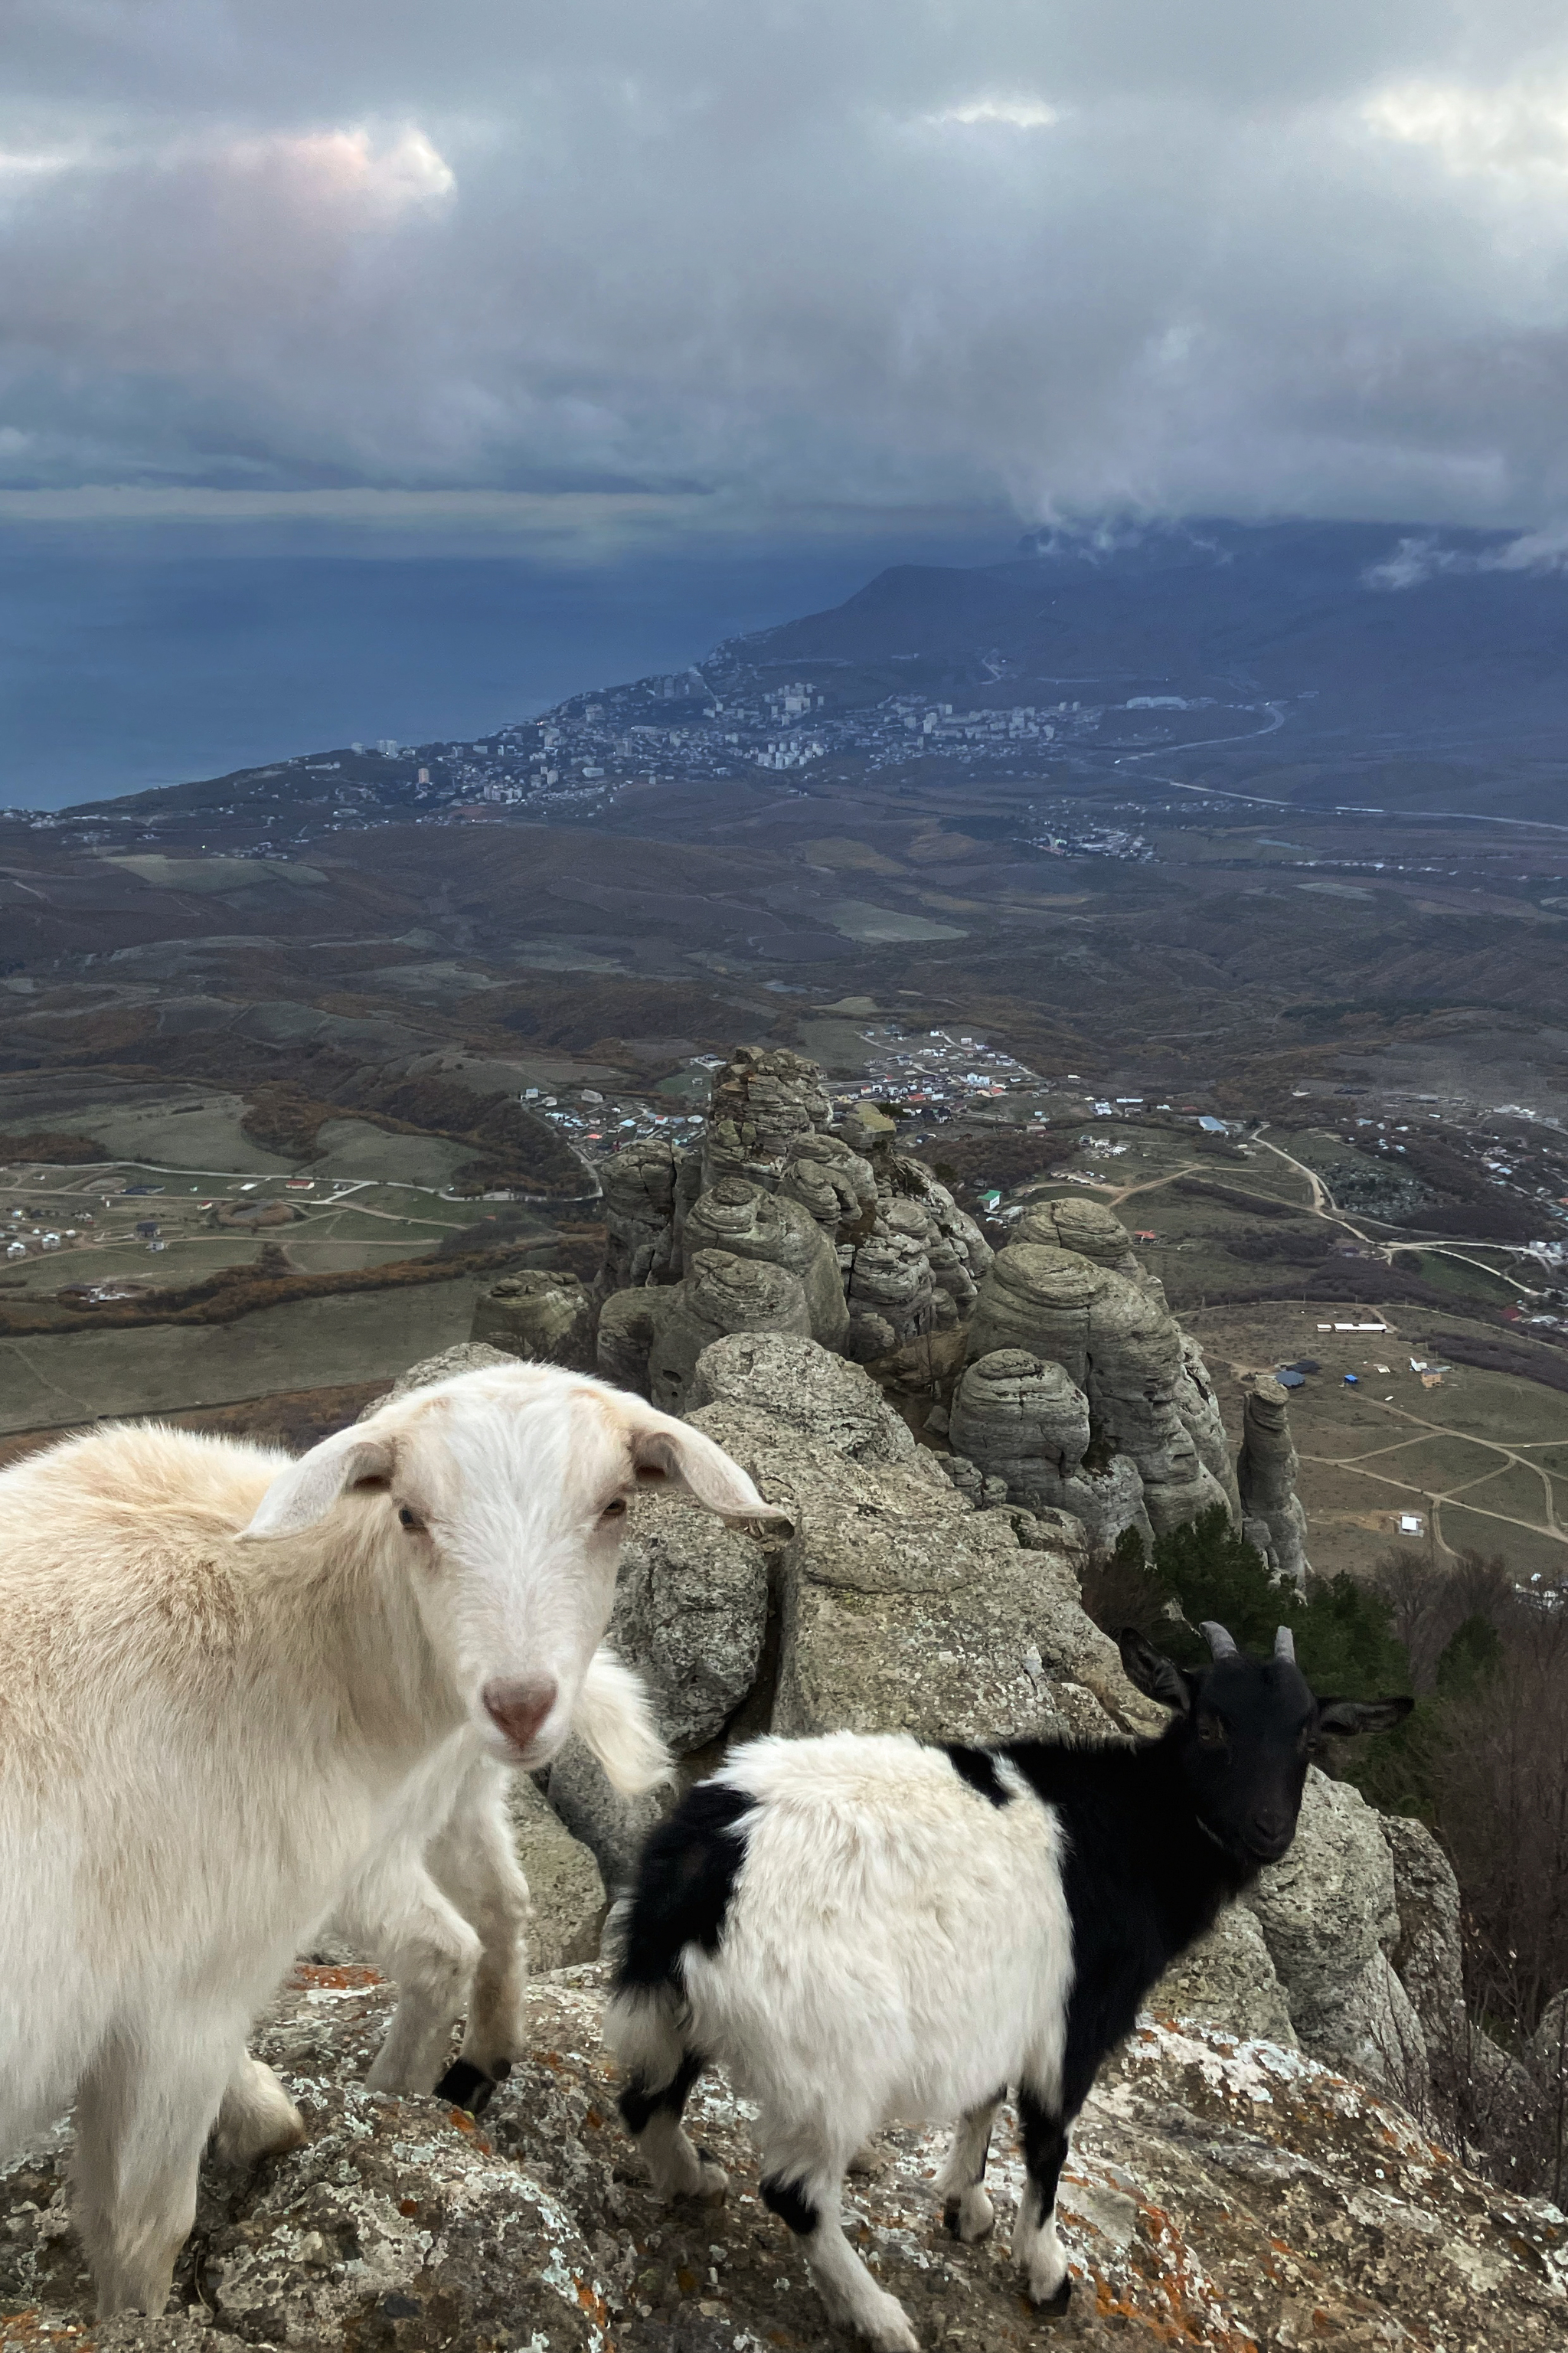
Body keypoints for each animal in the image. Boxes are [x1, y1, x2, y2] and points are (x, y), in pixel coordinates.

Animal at [0, 1364, 776, 2315]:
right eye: (409, 1513)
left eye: (615, 1504)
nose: (519, 1703)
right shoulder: (190, 1981)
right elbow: (144, 2225)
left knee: (488, 1915)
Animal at [600, 1628, 1403, 2343]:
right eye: (1211, 1723)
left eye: (1309, 1737)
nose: (1269, 1830)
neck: (1134, 1830)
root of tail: (707, 1859)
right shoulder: (1075, 2016)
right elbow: (1049, 2139)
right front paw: (1046, 2271)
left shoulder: (999, 2000)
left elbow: (982, 2095)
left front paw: (966, 2204)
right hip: (833, 2047)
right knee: (793, 2190)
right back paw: (876, 2315)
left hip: (690, 2010)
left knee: (646, 2100)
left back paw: (693, 2182)